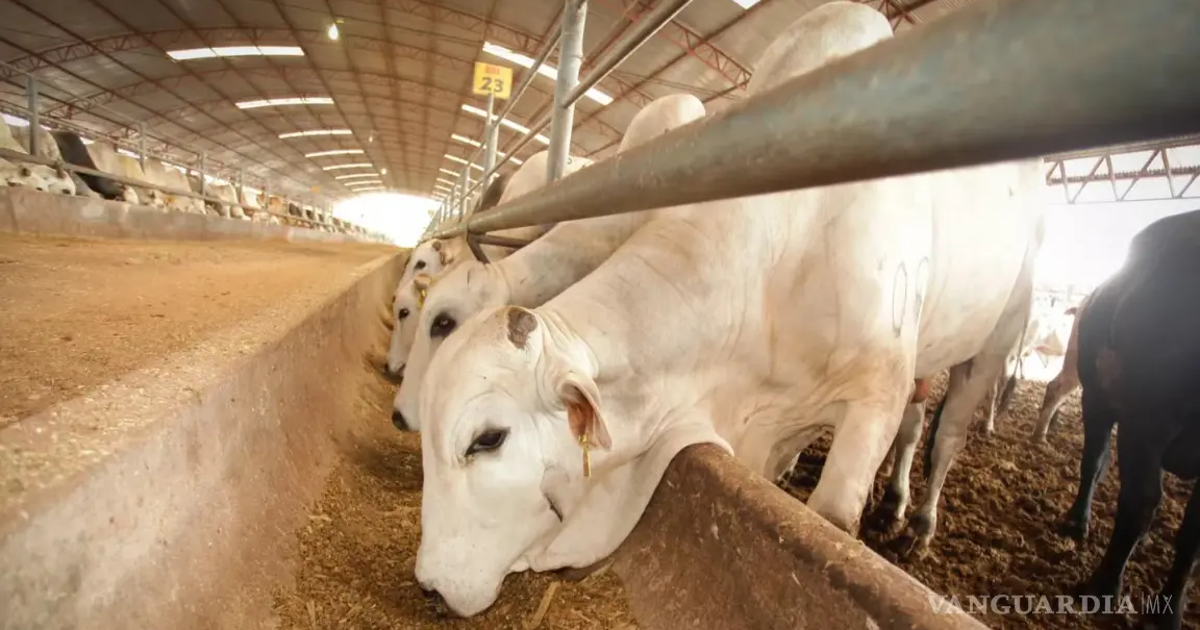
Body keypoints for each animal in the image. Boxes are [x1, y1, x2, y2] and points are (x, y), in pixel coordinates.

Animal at [1057, 208, 1200, 630]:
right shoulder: (1145, 421)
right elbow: (1139, 501)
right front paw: (1103, 586)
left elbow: (1193, 533)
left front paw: (1171, 610)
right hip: (1097, 400)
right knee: (1095, 463)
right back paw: (1078, 520)